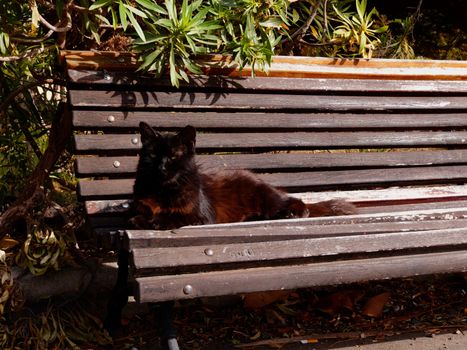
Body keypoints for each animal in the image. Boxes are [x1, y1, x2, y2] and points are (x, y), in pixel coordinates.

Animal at [130, 121, 356, 231]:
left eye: (173, 156)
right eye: (152, 155)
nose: (161, 167)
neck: (162, 190)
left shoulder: (202, 216)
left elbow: (175, 216)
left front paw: (158, 221)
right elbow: (138, 216)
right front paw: (144, 219)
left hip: (266, 198)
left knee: (296, 201)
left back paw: (292, 213)